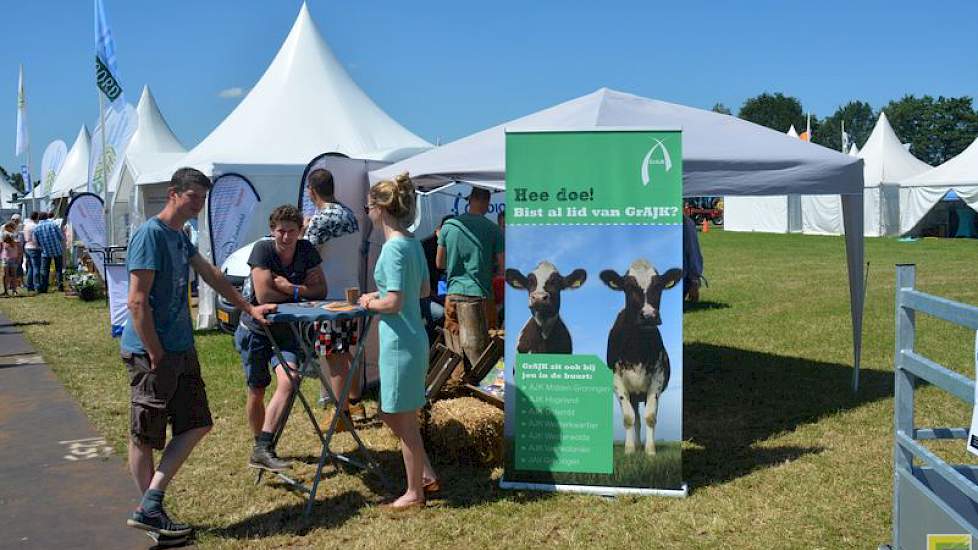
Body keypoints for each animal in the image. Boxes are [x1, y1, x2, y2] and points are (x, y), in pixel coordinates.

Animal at [600, 260, 684, 454]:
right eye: (628, 287)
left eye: (659, 286)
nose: (648, 316)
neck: (636, 348)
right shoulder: (617, 380)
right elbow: (629, 418)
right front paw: (630, 450)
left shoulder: (657, 377)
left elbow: (650, 416)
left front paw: (650, 451)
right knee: (635, 418)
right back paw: (636, 444)